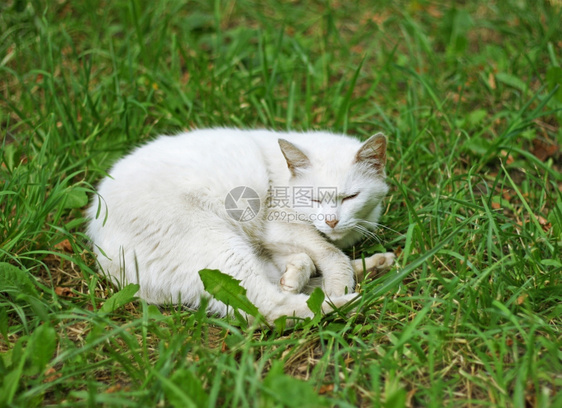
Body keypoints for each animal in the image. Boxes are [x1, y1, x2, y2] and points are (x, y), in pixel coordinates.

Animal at [87, 129, 394, 324]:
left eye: (351, 197)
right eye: (313, 198)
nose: (332, 221)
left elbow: (312, 257)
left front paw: (296, 274)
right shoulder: (278, 226)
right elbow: (328, 253)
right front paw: (335, 284)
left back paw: (375, 265)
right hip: (218, 246)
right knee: (268, 308)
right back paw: (350, 300)